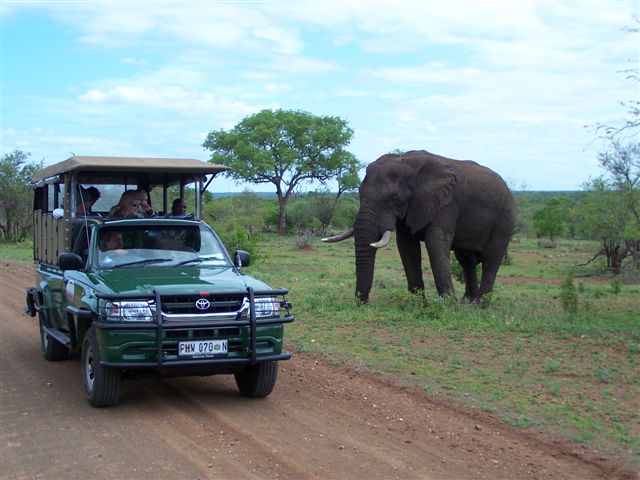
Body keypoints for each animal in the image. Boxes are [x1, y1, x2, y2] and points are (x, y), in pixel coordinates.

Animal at [322, 149, 516, 304]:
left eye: (394, 198)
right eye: (359, 193)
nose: (362, 302)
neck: (408, 163)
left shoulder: (446, 203)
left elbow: (435, 242)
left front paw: (448, 307)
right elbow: (406, 246)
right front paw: (419, 305)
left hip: (505, 219)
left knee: (491, 259)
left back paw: (480, 306)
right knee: (467, 260)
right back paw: (468, 302)